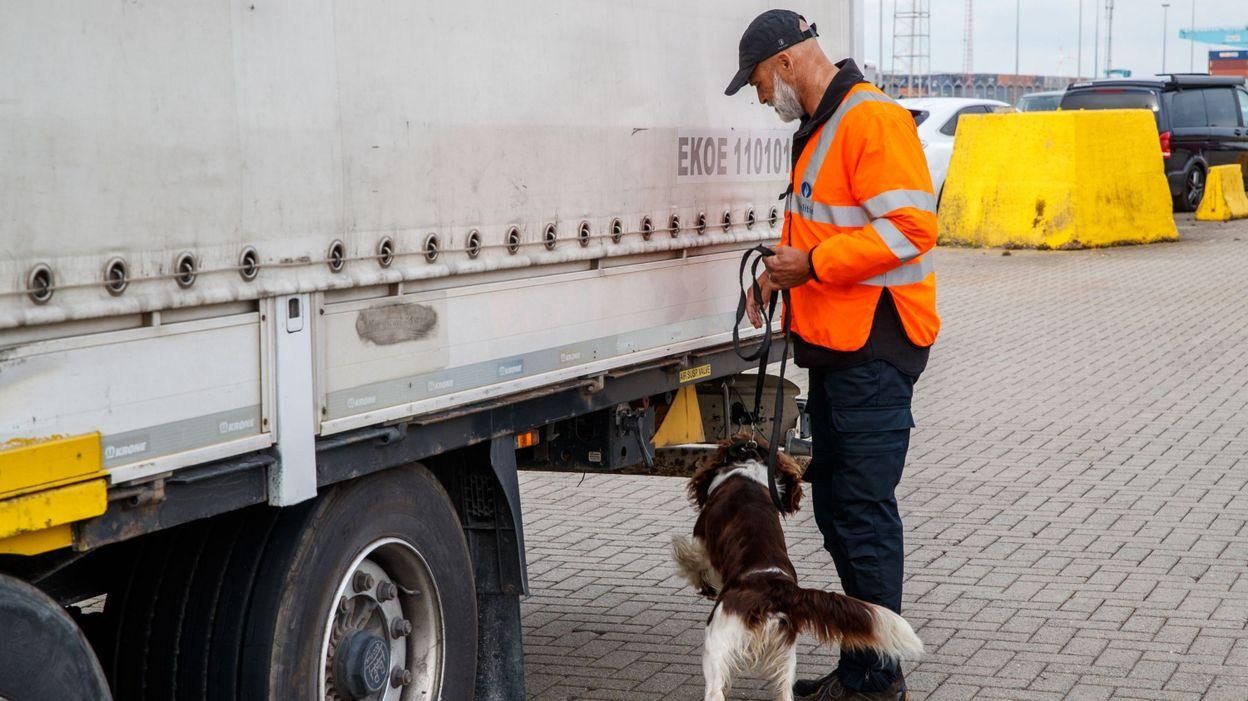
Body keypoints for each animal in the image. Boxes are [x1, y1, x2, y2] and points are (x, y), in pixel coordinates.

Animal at [668, 439, 923, 693]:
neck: (747, 469)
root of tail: (777, 589)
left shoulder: (701, 543)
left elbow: (689, 558)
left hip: (717, 642)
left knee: (716, 689)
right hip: (785, 655)